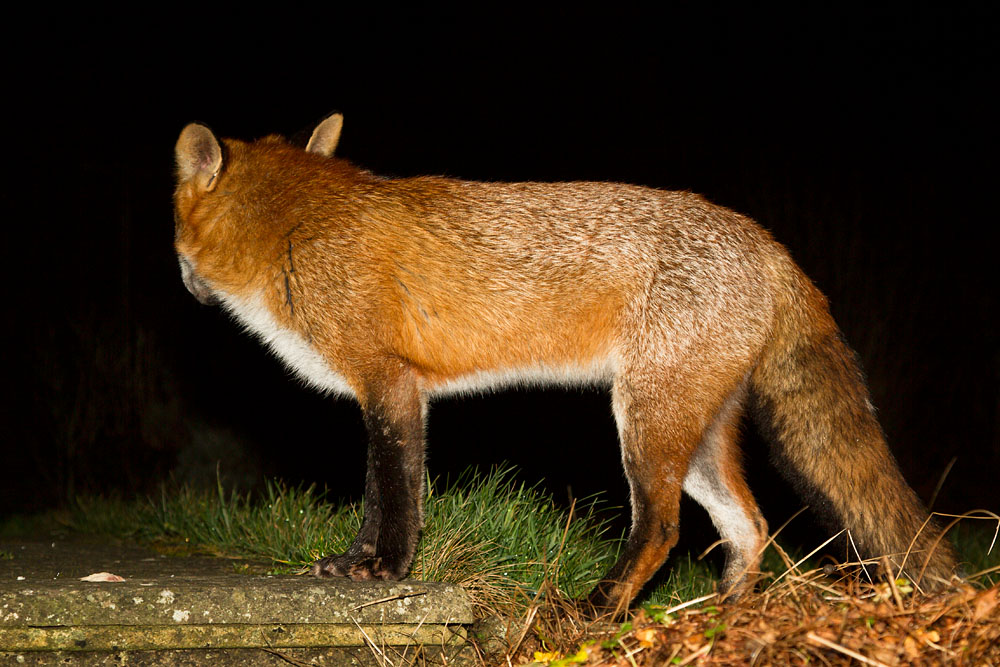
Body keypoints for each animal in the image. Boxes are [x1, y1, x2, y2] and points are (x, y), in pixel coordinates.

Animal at [172, 113, 957, 611]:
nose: (185, 286)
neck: (295, 228)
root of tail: (768, 242)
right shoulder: (394, 392)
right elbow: (377, 494)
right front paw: (356, 563)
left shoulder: (389, 382)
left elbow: (393, 496)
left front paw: (386, 568)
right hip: (695, 433)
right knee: (750, 526)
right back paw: (723, 618)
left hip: (645, 422)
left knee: (664, 530)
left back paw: (599, 609)